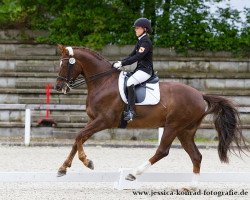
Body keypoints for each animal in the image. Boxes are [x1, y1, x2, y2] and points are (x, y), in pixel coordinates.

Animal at [55, 45, 248, 181]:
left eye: (65, 64)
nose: (59, 87)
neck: (103, 82)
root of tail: (200, 95)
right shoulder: (93, 120)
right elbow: (77, 139)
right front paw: (63, 168)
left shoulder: (104, 120)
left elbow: (79, 136)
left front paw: (87, 162)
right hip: (185, 131)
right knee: (196, 156)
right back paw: (190, 187)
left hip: (173, 126)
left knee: (163, 151)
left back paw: (133, 173)